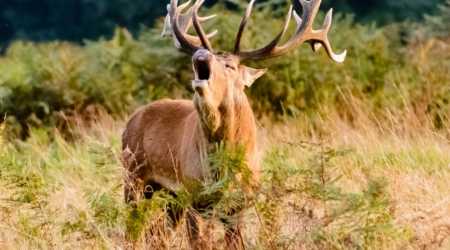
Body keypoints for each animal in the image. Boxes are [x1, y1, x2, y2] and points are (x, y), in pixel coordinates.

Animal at [121, 0, 346, 248]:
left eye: (229, 66)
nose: (200, 54)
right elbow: (198, 243)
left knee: (156, 233)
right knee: (133, 230)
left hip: (169, 195)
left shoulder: (239, 202)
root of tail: (131, 120)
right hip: (133, 176)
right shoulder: (194, 193)